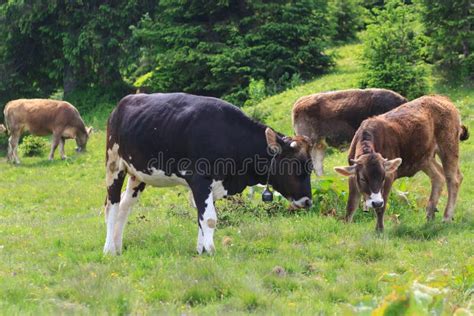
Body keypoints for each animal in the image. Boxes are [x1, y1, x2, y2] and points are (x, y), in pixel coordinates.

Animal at [102, 93, 312, 254]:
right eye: (295, 166)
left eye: (310, 166)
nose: (308, 201)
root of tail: (121, 104)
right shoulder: (200, 180)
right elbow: (209, 218)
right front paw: (211, 251)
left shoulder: (215, 185)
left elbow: (201, 218)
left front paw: (201, 250)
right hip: (114, 164)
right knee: (112, 204)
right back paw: (109, 249)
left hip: (137, 174)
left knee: (125, 205)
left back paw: (118, 246)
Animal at [336, 95, 468, 231]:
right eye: (362, 179)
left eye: (383, 178)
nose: (376, 202)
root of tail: (441, 98)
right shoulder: (352, 176)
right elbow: (351, 205)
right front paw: (346, 227)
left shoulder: (390, 176)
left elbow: (381, 207)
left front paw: (379, 230)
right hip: (424, 158)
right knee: (438, 176)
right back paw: (430, 214)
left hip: (449, 145)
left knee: (454, 179)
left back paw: (446, 217)